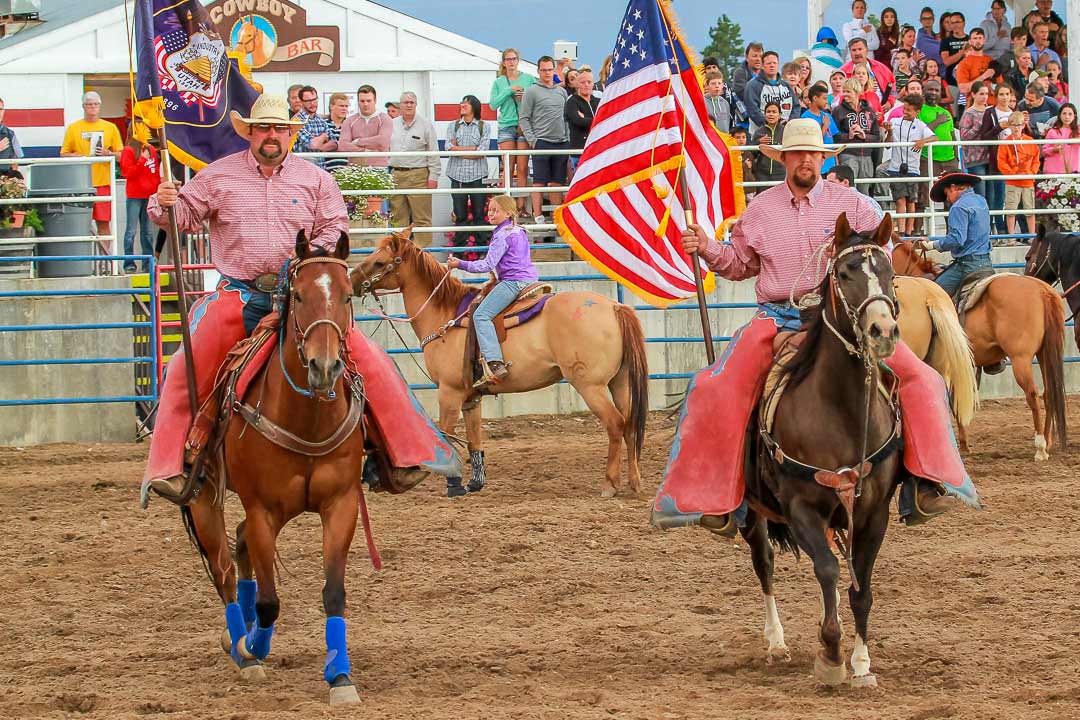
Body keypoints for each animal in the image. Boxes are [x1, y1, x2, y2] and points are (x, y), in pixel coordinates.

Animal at [183, 234, 369, 708]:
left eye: (347, 295)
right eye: (299, 295)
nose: (325, 367)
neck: (307, 418)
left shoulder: (340, 505)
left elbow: (334, 593)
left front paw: (340, 677)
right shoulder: (263, 509)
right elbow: (269, 601)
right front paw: (253, 647)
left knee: (242, 547)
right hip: (207, 498)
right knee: (225, 569)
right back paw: (241, 648)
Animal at [349, 227, 643, 498]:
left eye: (379, 262)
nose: (351, 280)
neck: (444, 315)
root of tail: (614, 307)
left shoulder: (449, 392)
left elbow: (445, 434)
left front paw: (451, 485)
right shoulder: (471, 397)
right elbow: (473, 440)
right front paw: (474, 484)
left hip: (590, 385)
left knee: (615, 423)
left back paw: (609, 484)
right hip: (620, 382)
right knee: (630, 425)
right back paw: (634, 482)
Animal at [743, 212, 902, 686]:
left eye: (890, 273)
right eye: (846, 273)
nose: (882, 331)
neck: (842, 411)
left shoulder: (873, 512)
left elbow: (860, 585)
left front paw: (862, 662)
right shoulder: (801, 508)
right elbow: (828, 568)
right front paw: (830, 654)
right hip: (753, 512)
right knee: (765, 563)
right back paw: (776, 642)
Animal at [889, 239, 1067, 459]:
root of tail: (1043, 291)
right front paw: (964, 445)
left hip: (1021, 358)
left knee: (1033, 394)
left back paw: (1040, 447)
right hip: (1044, 353)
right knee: (1049, 392)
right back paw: (1049, 442)